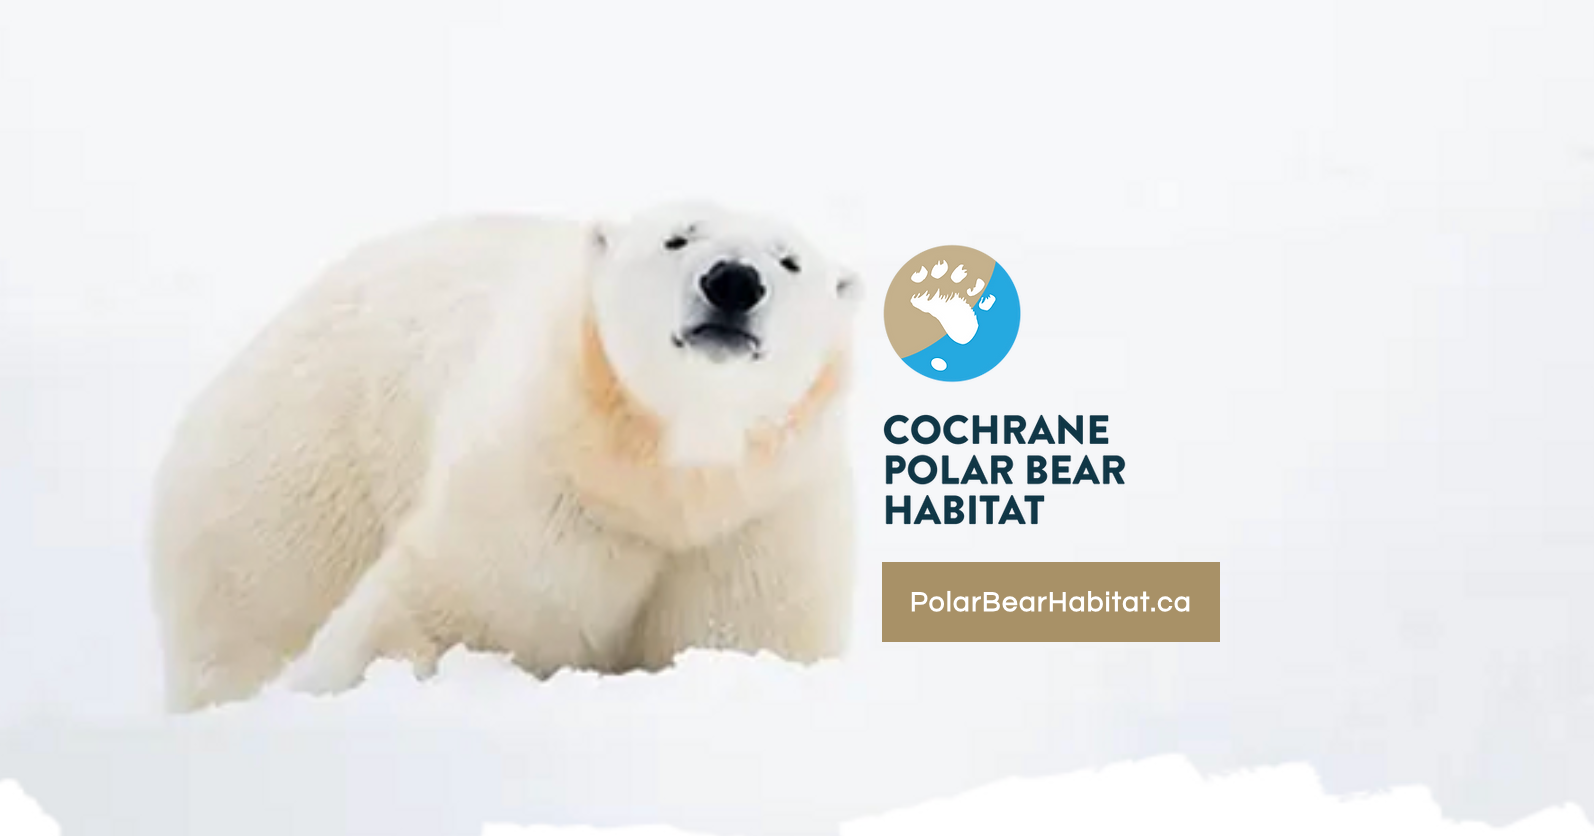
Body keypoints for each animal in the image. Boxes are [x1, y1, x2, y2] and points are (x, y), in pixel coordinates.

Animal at [148, 203, 861, 711]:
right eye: (677, 239)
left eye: (790, 261)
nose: (733, 282)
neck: (662, 477)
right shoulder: (542, 493)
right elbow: (438, 605)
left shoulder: (753, 529)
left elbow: (742, 637)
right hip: (299, 474)